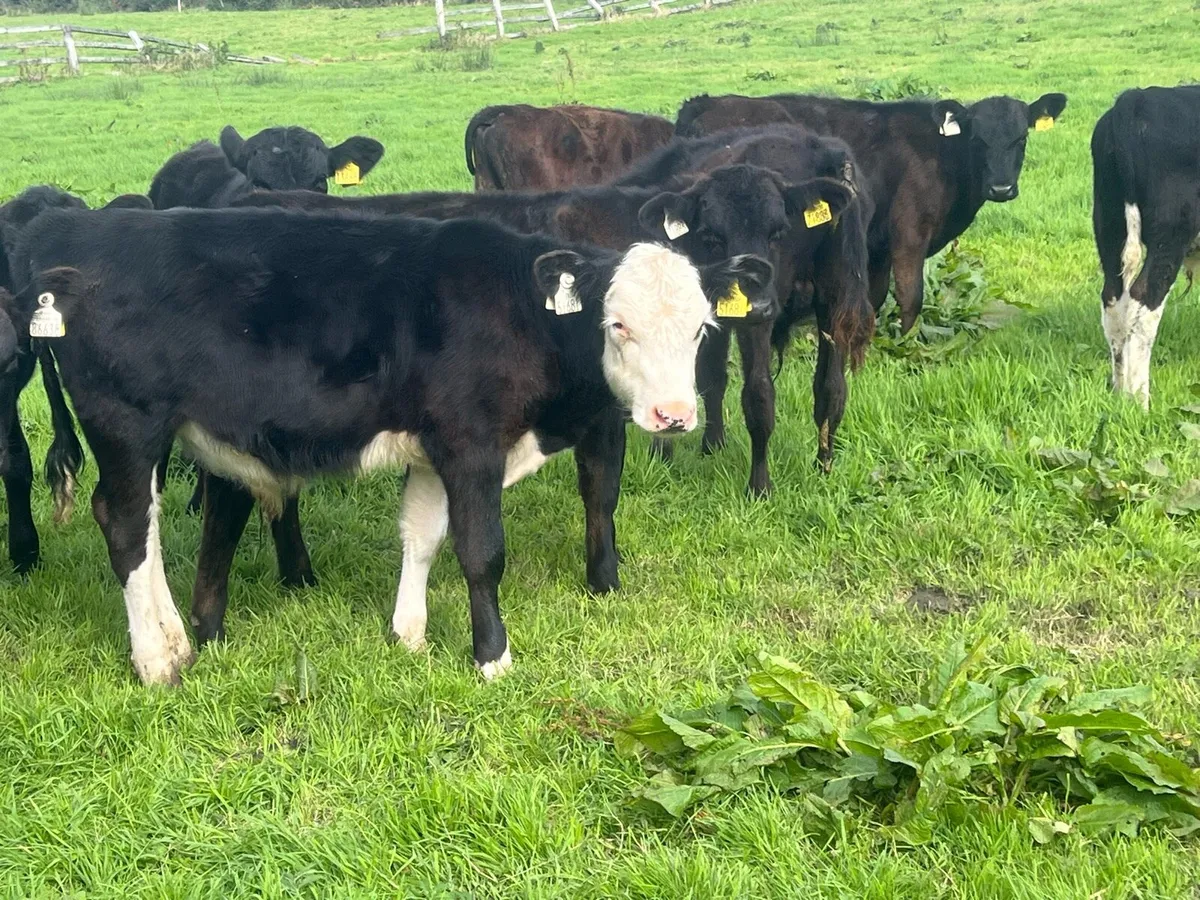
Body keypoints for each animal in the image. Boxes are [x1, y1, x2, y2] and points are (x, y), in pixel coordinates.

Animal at [675, 91, 1068, 333]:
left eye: (1021, 138)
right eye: (977, 139)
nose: (1001, 188)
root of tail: (705, 103)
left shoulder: (877, 244)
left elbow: (876, 299)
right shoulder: (909, 234)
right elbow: (910, 296)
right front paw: (906, 348)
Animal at [1091, 85, 1200, 407]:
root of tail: (1136, 98)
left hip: (1109, 226)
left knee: (1113, 302)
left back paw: (1120, 391)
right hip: (1169, 238)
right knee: (1144, 302)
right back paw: (1140, 400)